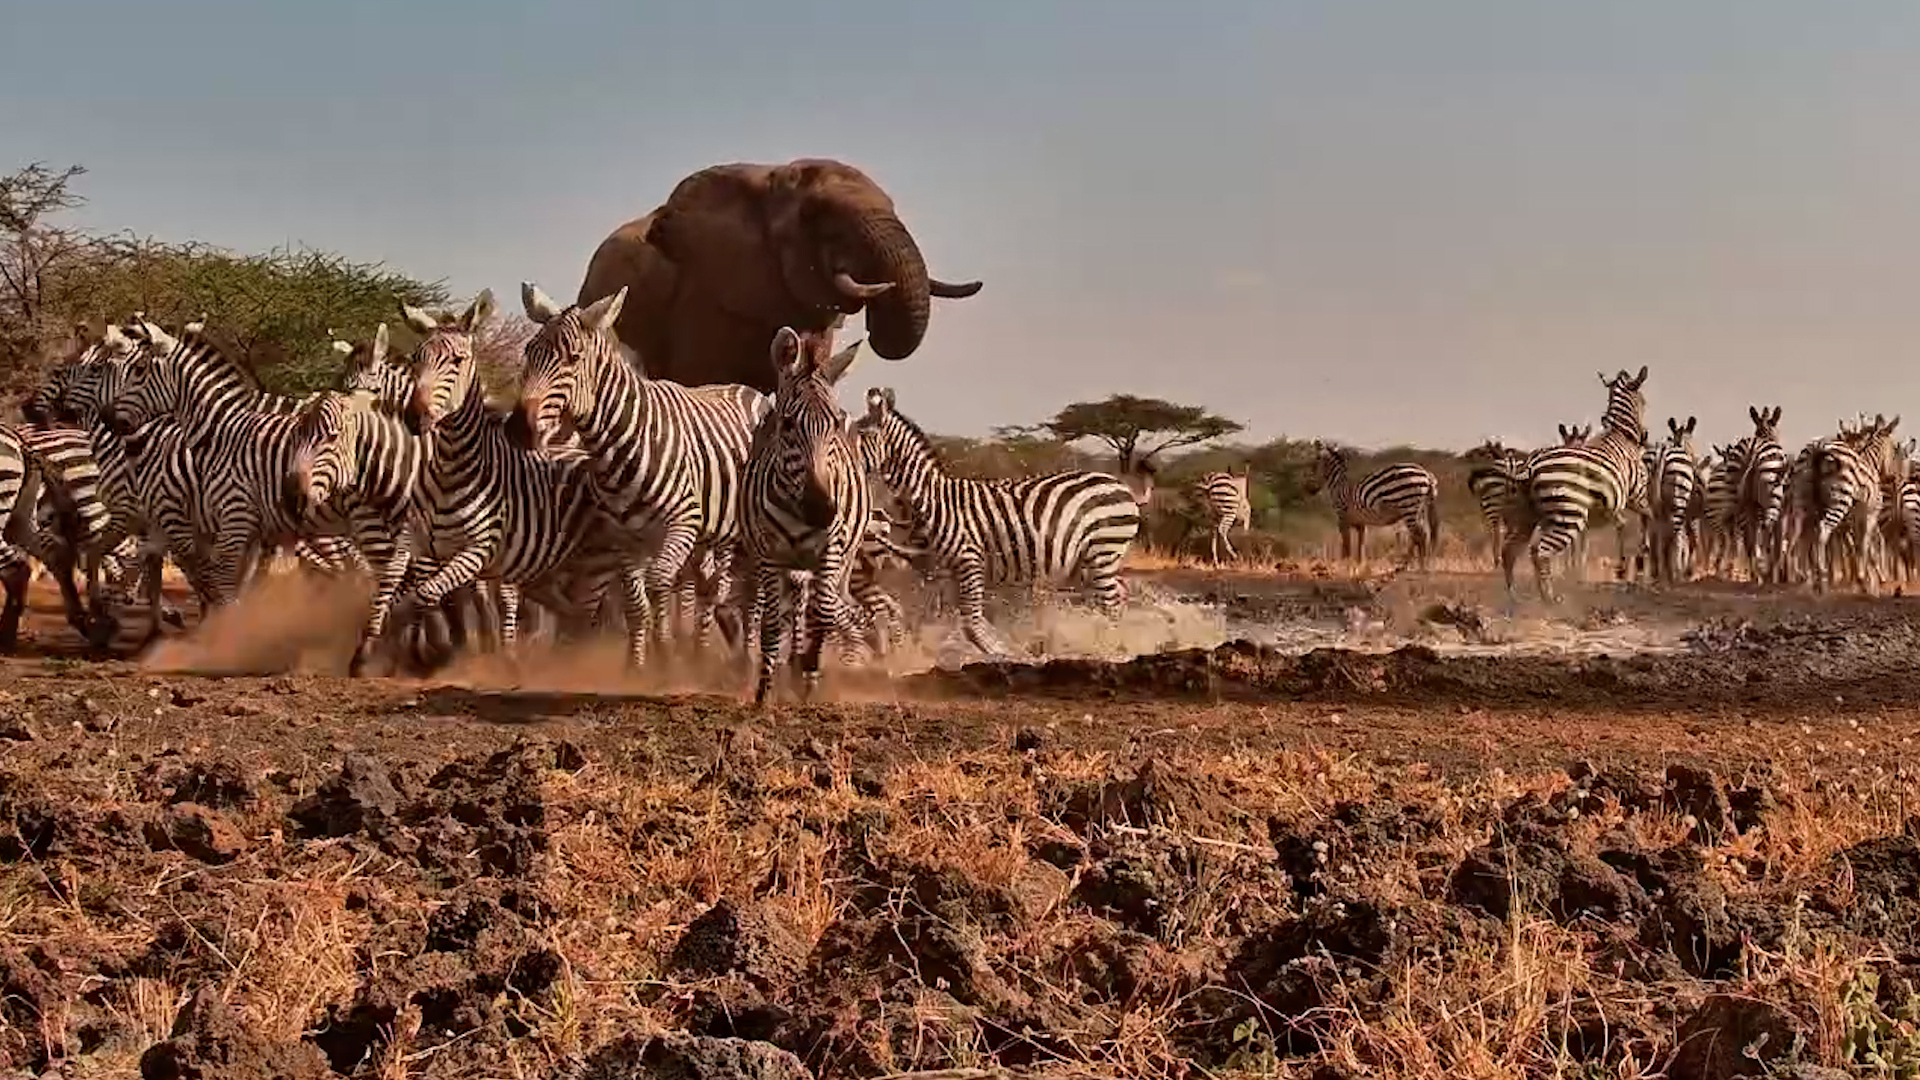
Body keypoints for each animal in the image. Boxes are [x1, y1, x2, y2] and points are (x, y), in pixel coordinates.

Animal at [515, 282, 774, 667]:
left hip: (750, 531)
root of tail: (748, 389)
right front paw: (637, 666)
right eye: (529, 353)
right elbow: (636, 603)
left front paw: (664, 655)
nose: (518, 428)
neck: (619, 446)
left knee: (751, 594)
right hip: (711, 535)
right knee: (710, 588)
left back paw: (746, 659)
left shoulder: (681, 524)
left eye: (573, 358)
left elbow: (657, 584)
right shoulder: (623, 538)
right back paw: (701, 653)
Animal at [739, 327, 873, 705]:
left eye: (835, 424)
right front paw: (765, 691)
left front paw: (810, 673)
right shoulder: (770, 554)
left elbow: (823, 614)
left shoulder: (831, 550)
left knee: (825, 605)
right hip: (780, 564)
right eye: (787, 424)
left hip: (841, 563)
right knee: (791, 607)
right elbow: (771, 624)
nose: (822, 510)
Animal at [855, 384, 1142, 660]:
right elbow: (958, 620)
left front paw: (1003, 652)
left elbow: (970, 622)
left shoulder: (969, 559)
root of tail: (1120, 484)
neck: (932, 499)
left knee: (1112, 604)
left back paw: (1110, 648)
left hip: (1102, 551)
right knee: (1119, 594)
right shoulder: (947, 572)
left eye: (858, 434)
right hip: (1090, 560)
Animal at [1302, 441, 1440, 569]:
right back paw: (1418, 564)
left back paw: (1416, 566)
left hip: (1408, 507)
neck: (1338, 484)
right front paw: (1359, 566)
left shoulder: (1342, 517)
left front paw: (1345, 565)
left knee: (1419, 535)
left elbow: (1346, 545)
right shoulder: (1360, 522)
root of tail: (1427, 474)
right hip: (1420, 510)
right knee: (1423, 534)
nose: (1309, 489)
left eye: (1313, 464)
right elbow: (1361, 545)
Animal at [1503, 366, 1649, 604]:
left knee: (1510, 551)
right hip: (1570, 517)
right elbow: (1646, 518)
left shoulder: (1616, 505)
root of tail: (1532, 464)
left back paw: (1513, 595)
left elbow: (1622, 527)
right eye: (1643, 401)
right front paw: (1638, 559)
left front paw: (1624, 567)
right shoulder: (1636, 494)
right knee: (1540, 551)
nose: (1645, 436)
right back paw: (1549, 598)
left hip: (1527, 516)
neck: (1621, 434)